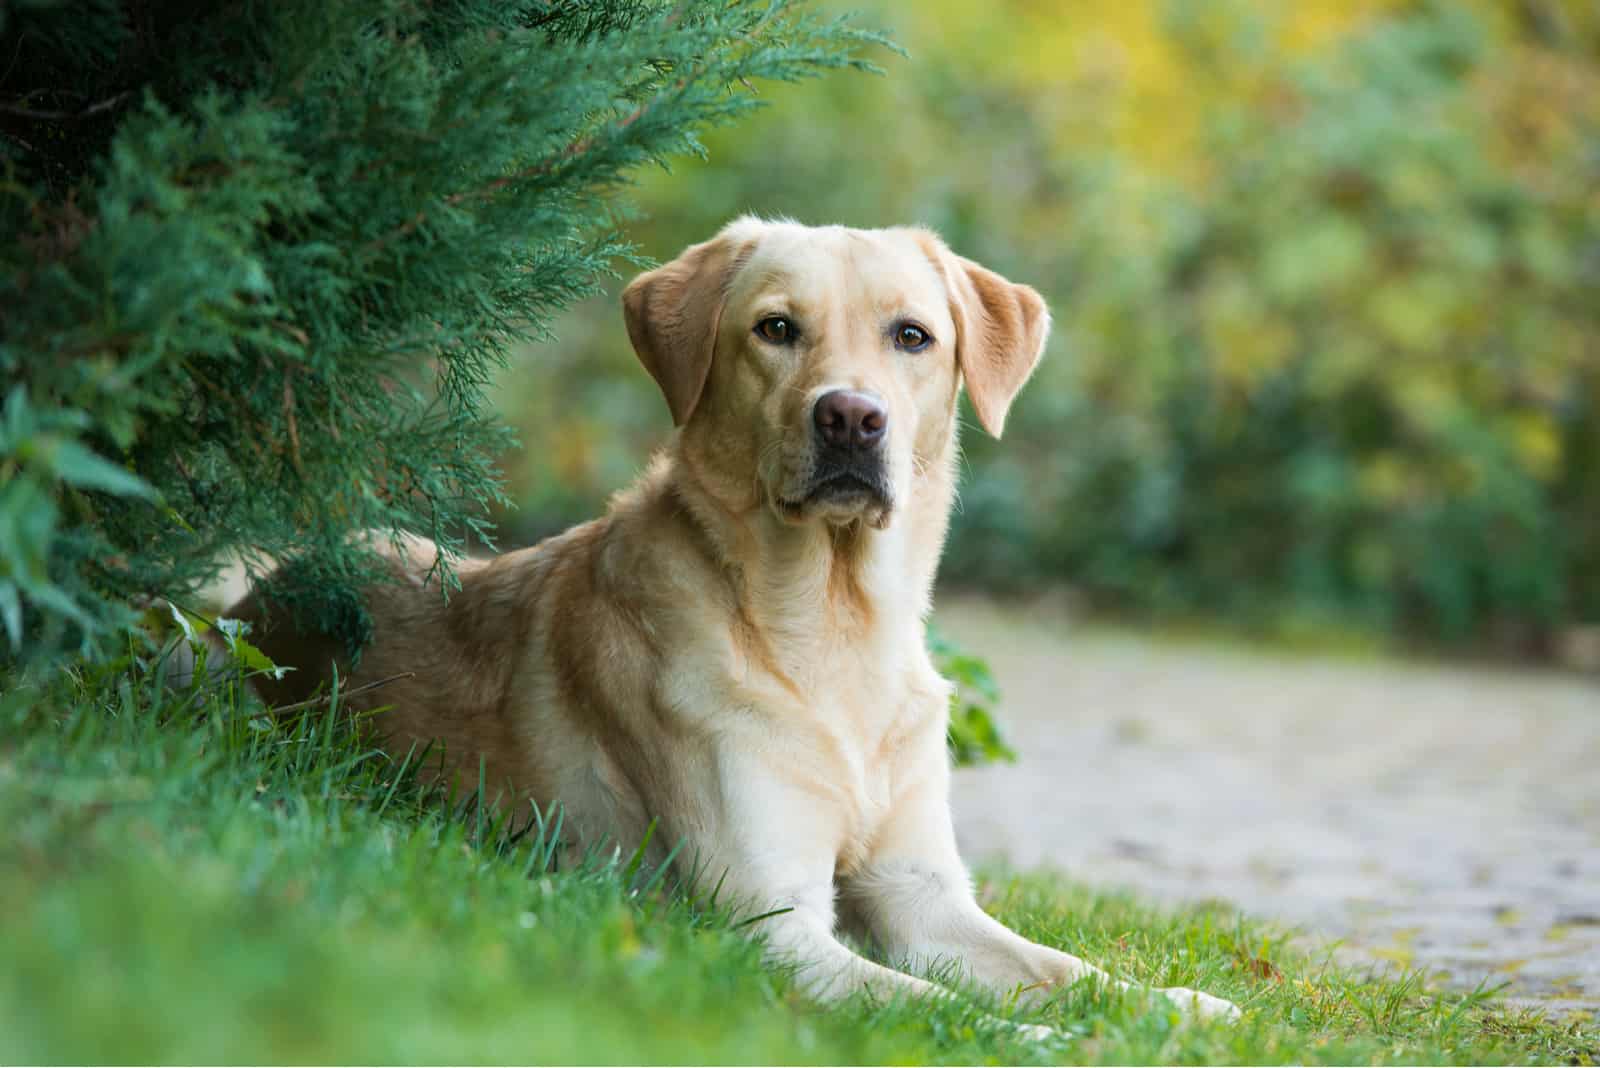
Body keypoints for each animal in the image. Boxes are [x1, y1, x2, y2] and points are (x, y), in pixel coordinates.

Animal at [233, 219, 1235, 1036]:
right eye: (776, 329)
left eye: (912, 336)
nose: (850, 417)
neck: (832, 626)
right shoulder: (768, 920)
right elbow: (934, 1007)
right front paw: (1040, 1040)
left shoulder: (924, 897)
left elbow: (1067, 970)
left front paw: (1177, 1007)